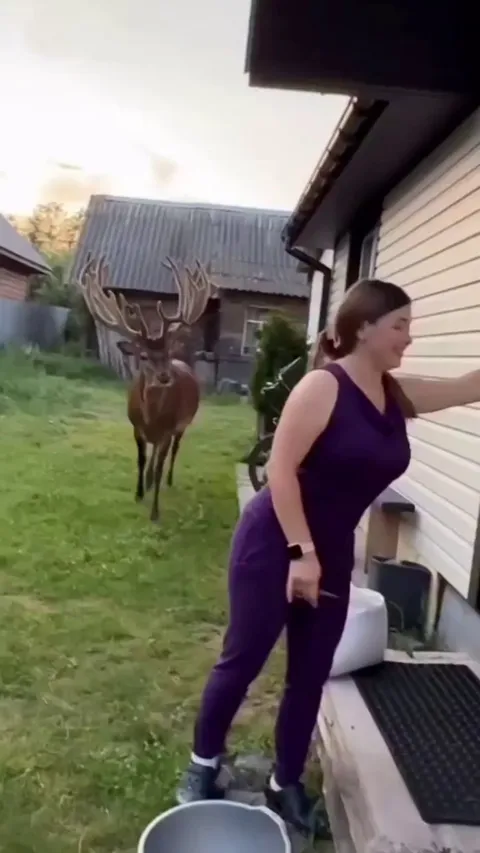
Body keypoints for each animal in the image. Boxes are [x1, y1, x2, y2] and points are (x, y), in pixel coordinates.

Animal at [77, 254, 218, 522]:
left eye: (168, 352)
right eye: (143, 356)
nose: (164, 376)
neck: (151, 416)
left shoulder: (168, 429)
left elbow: (160, 463)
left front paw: (154, 511)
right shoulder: (136, 427)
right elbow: (141, 460)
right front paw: (139, 493)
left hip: (182, 425)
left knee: (174, 451)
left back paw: (167, 480)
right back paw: (150, 481)